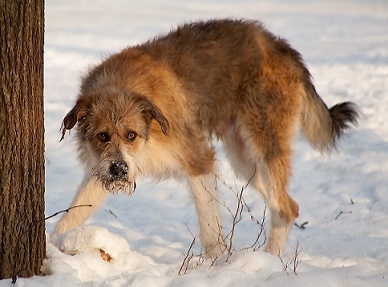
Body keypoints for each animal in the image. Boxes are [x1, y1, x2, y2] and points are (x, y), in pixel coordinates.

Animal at [53, 19, 358, 260]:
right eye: (102, 136)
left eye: (131, 135)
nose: (119, 170)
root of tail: (281, 46)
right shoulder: (100, 171)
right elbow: (72, 215)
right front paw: (57, 246)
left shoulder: (199, 160)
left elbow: (210, 231)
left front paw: (217, 267)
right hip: (246, 161)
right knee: (288, 206)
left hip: (264, 145)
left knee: (285, 208)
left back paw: (269, 260)